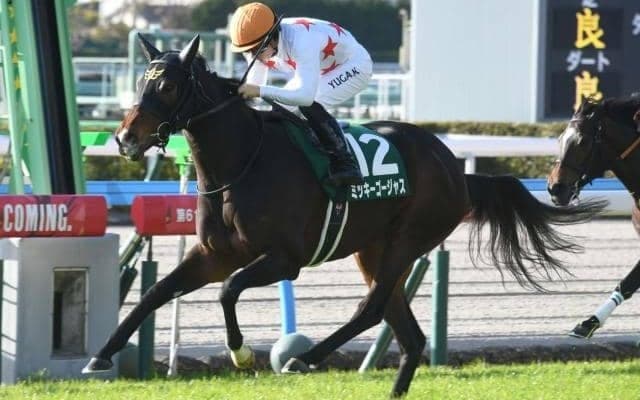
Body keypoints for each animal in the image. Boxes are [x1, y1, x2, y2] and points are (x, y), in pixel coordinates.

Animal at [82, 35, 605, 397]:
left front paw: (243, 352)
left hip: (408, 239)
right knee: (408, 333)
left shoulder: (285, 259)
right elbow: (156, 293)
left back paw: (304, 358)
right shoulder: (214, 254)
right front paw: (101, 355)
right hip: (374, 249)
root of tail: (456, 168)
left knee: (371, 308)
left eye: (168, 85)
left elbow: (229, 290)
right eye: (140, 83)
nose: (125, 139)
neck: (242, 160)